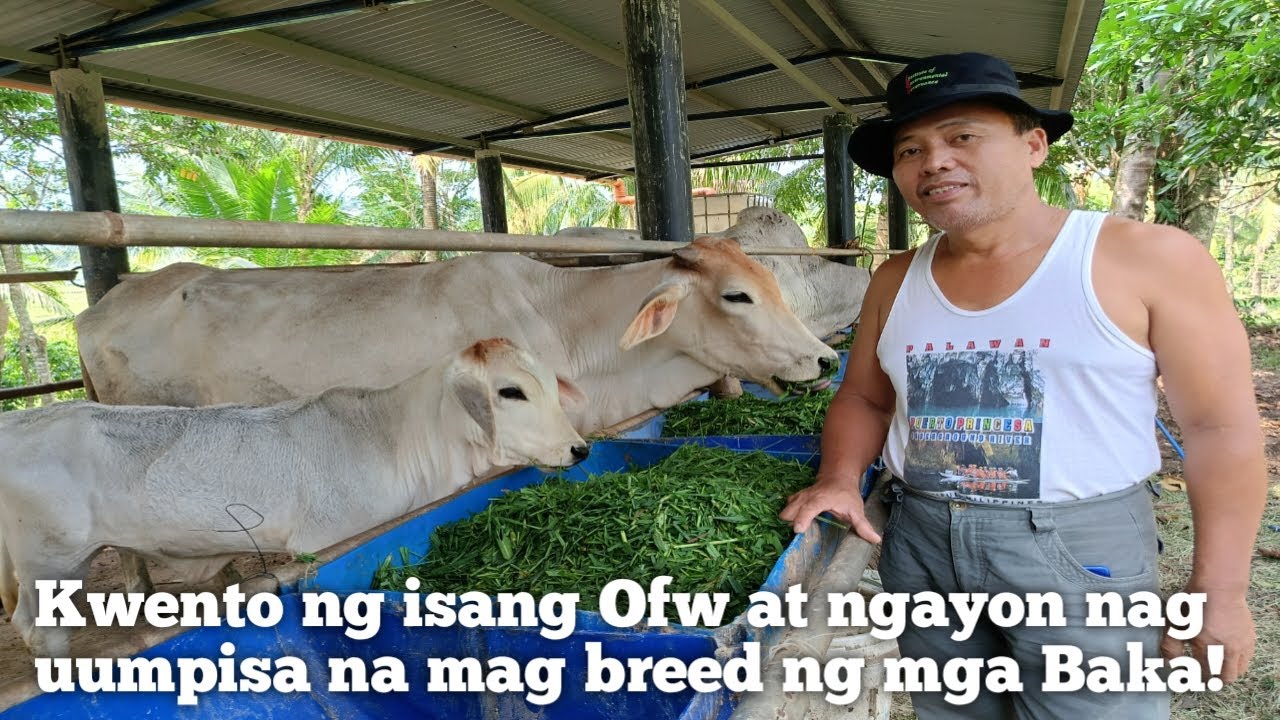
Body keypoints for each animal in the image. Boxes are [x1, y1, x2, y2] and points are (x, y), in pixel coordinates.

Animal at [0, 337, 590, 657]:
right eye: (510, 391)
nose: (580, 449)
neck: (394, 437)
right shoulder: (324, 538)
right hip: (52, 563)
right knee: (40, 633)